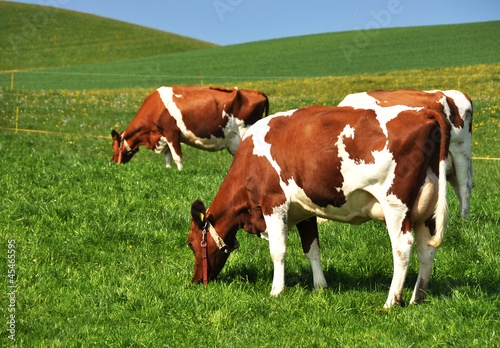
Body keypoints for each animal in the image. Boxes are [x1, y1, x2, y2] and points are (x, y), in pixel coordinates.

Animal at [111, 85, 270, 170]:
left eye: (114, 145)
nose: (112, 162)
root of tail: (258, 92)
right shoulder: (163, 136)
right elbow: (167, 157)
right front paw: (169, 170)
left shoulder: (172, 133)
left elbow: (177, 157)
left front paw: (180, 172)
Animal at [188, 105, 454, 308]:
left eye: (191, 244)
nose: (195, 282)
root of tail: (423, 111)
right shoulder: (305, 211)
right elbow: (312, 249)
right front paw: (320, 286)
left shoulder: (273, 204)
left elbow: (278, 250)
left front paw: (276, 290)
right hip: (426, 211)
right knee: (426, 249)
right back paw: (418, 297)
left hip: (395, 206)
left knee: (402, 247)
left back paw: (391, 302)